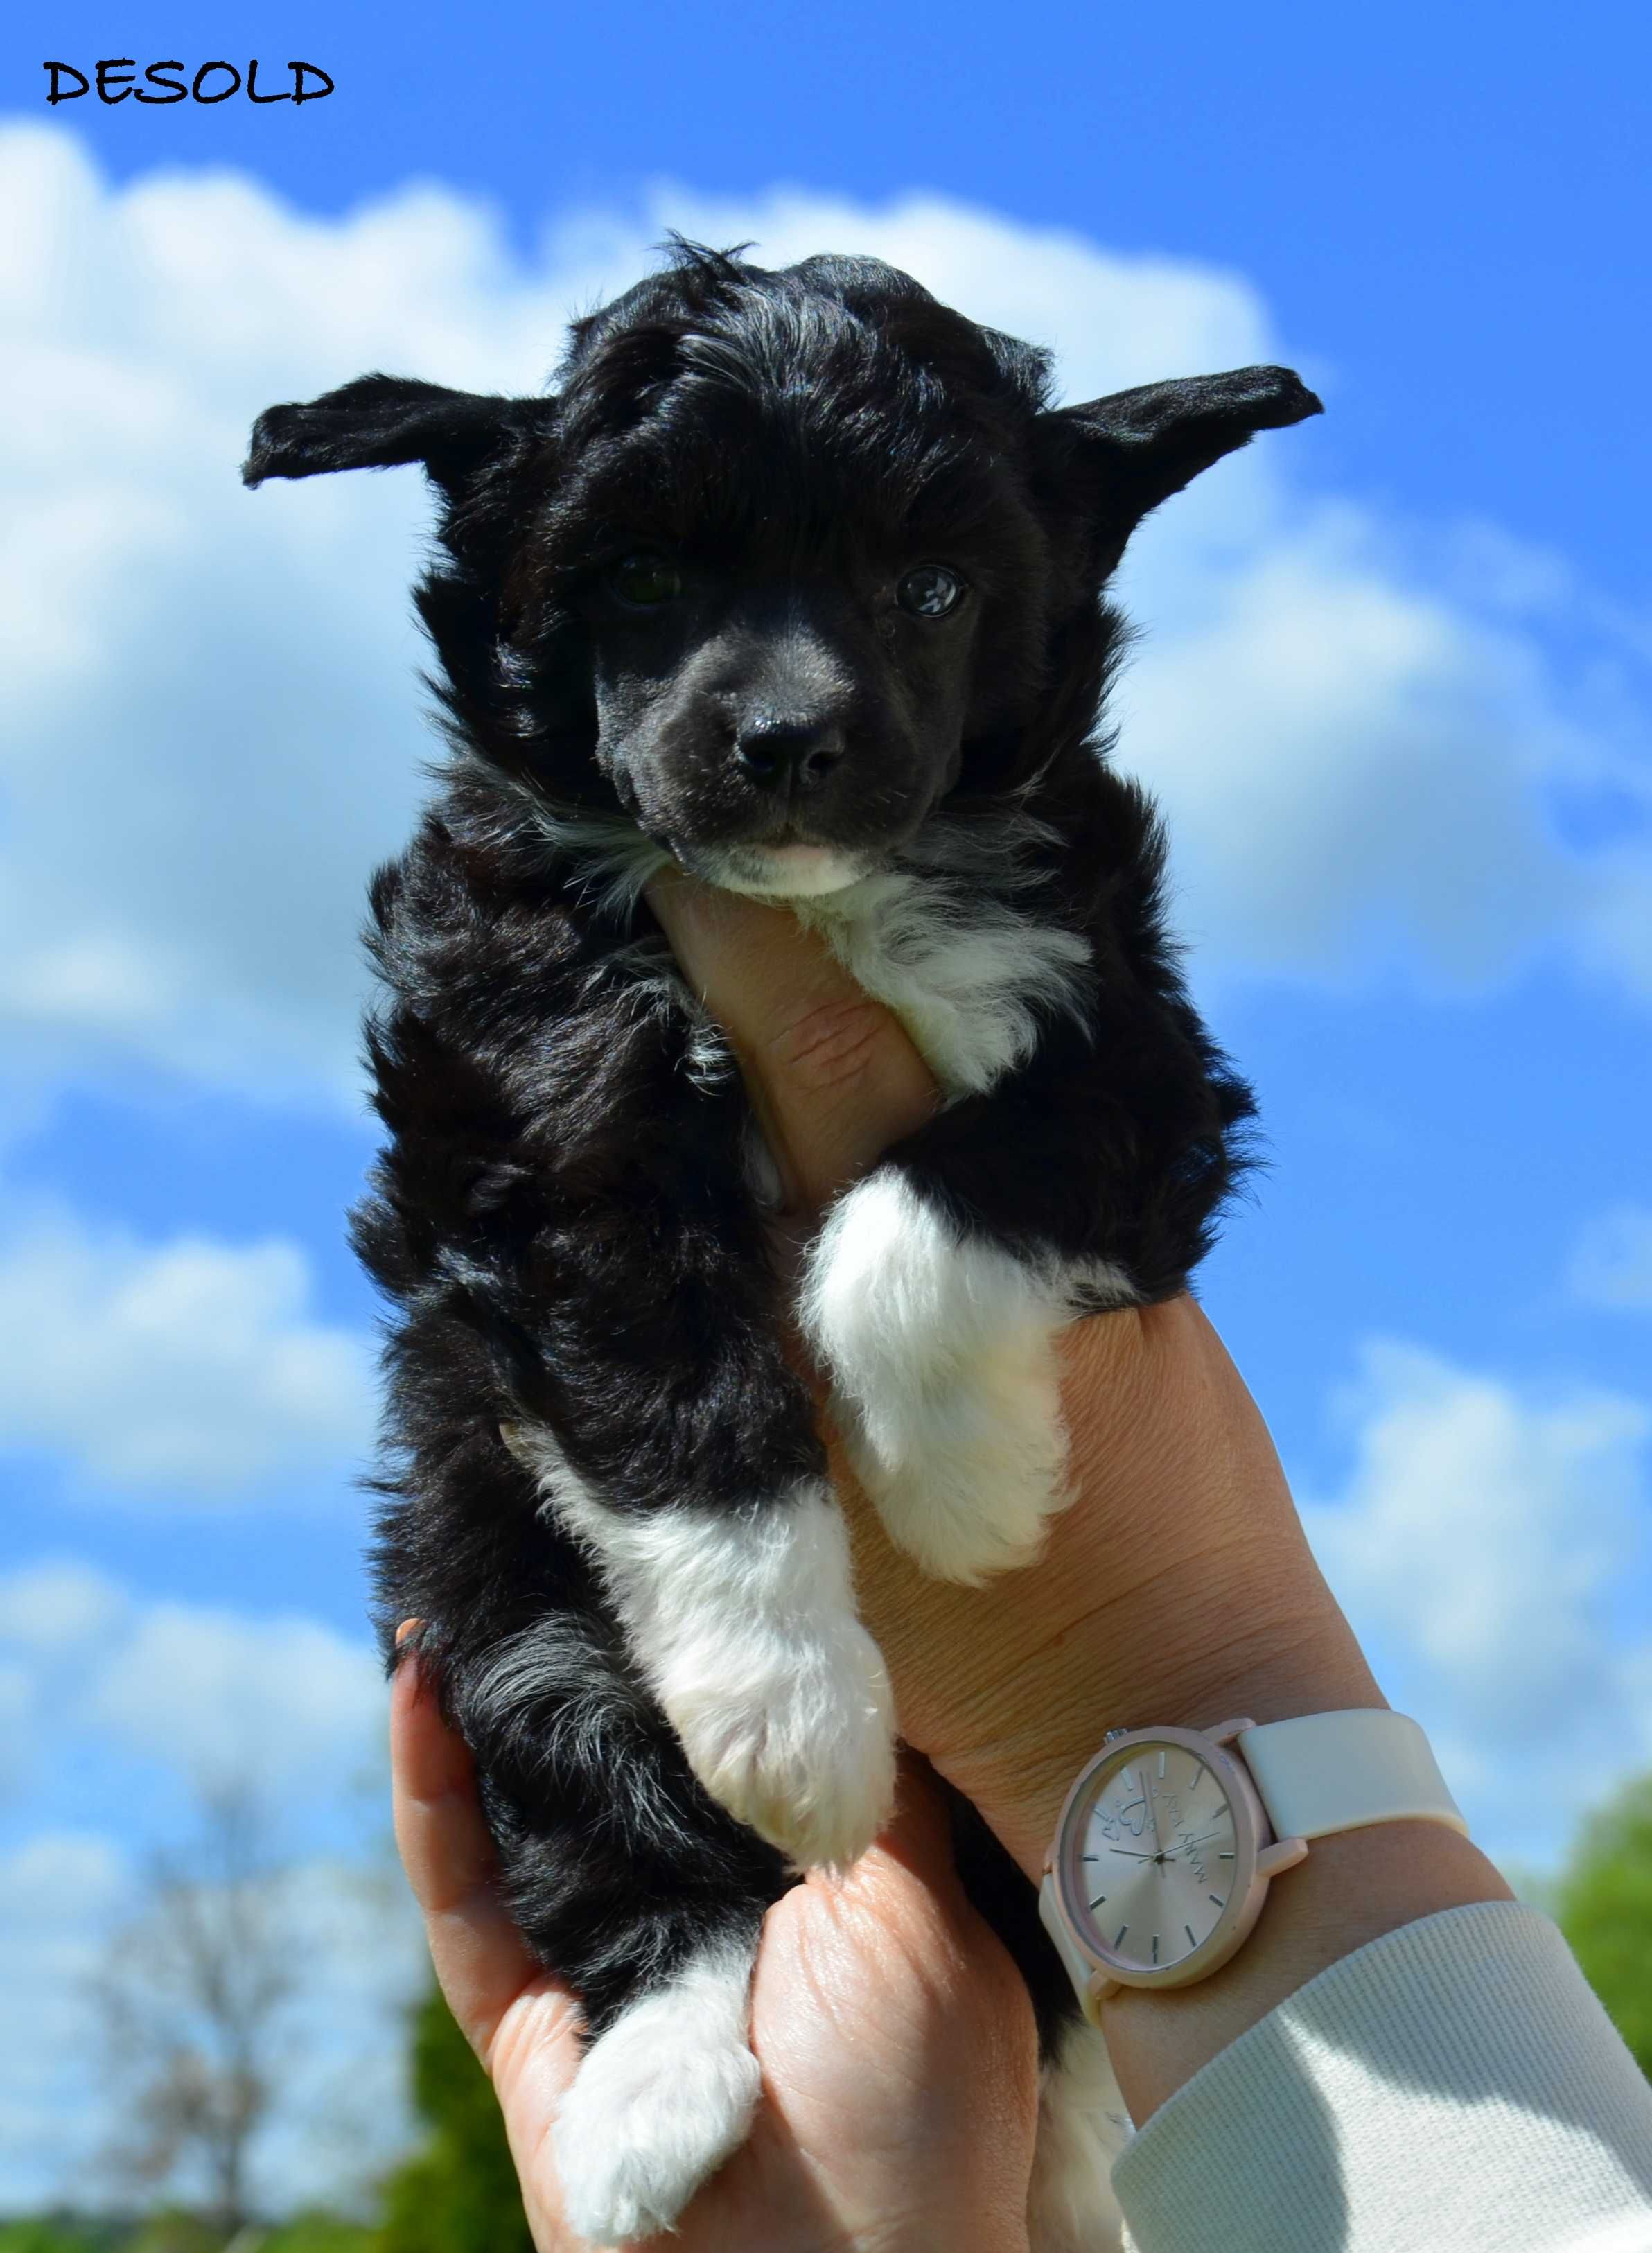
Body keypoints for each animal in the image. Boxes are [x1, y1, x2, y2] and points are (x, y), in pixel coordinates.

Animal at [244, 237, 1325, 2243]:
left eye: (934, 586)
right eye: (642, 578)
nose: (790, 738)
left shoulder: (1137, 1055)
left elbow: (929, 1212)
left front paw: (959, 1483)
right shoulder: (541, 1107)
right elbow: (673, 1397)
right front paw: (791, 1706)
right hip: (498, 1598)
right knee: (632, 1849)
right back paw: (654, 2090)